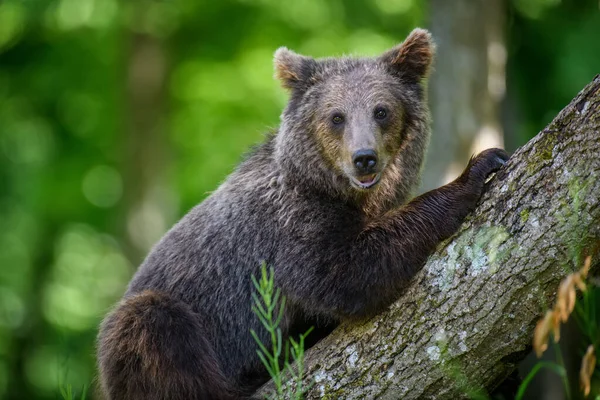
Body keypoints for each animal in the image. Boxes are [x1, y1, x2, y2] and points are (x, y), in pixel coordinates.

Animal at [96, 28, 508, 400]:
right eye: (337, 116)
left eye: (382, 110)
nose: (364, 158)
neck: (341, 193)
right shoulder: (290, 222)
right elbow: (341, 272)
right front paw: (477, 168)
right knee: (150, 324)